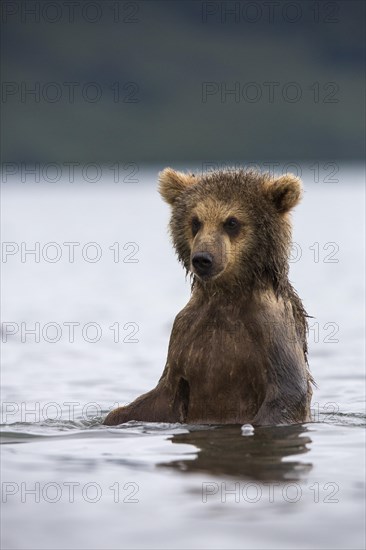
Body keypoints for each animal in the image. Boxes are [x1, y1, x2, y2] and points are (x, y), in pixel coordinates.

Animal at [104, 168, 314, 426]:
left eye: (231, 222)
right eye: (196, 221)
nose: (203, 259)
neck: (226, 295)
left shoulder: (271, 329)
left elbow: (287, 392)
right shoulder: (185, 331)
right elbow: (161, 396)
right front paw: (116, 415)